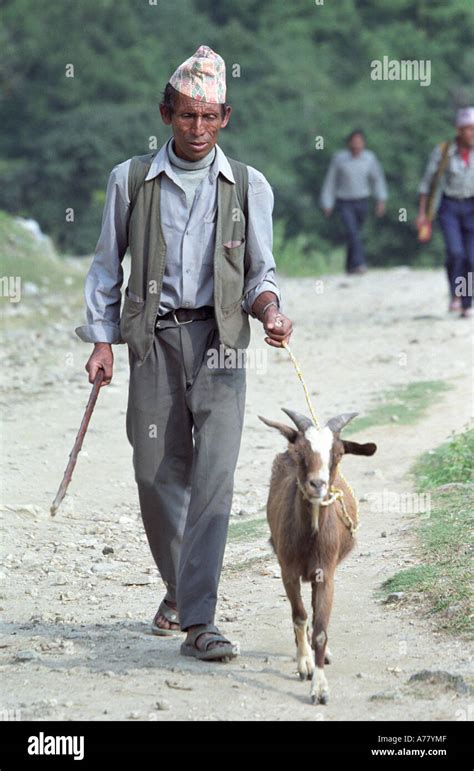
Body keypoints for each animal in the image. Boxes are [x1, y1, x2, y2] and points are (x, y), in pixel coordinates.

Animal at [258, 410, 376, 704]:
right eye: (300, 451)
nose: (317, 484)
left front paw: (320, 687)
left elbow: (321, 629)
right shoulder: (287, 571)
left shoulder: (326, 573)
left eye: (339, 453)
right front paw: (305, 663)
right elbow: (299, 616)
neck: (310, 536)